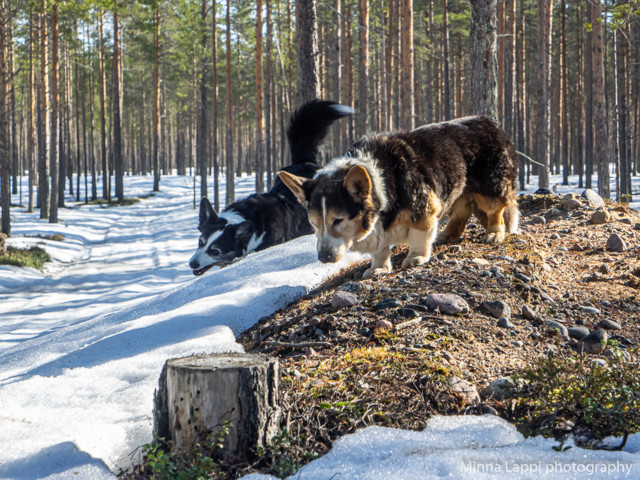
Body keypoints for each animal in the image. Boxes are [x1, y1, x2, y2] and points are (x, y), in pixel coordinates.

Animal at [280, 116, 520, 278]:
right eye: (314, 224)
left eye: (338, 220)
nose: (323, 258)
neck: (380, 184)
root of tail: (488, 122)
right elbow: (379, 250)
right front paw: (378, 269)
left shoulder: (423, 208)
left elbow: (419, 236)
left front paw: (416, 258)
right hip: (458, 186)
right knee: (462, 210)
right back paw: (447, 235)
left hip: (491, 187)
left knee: (495, 210)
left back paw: (494, 233)